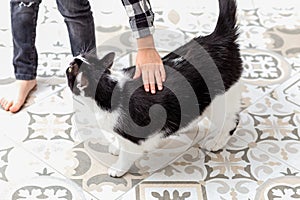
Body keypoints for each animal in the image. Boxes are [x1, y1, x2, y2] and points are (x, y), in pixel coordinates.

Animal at [66, 0, 244, 177]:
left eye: (70, 69)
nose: (74, 57)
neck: (109, 88)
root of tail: (219, 37)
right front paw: (116, 146)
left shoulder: (134, 136)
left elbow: (127, 154)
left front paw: (118, 168)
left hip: (220, 101)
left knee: (231, 121)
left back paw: (216, 142)